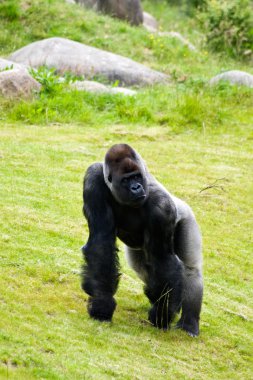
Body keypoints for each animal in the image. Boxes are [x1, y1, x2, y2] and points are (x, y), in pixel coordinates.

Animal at [81, 142, 204, 336]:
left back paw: (189, 325)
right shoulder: (94, 179)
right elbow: (101, 243)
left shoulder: (162, 207)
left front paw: (161, 315)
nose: (136, 187)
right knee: (143, 268)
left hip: (186, 216)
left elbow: (163, 260)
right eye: (126, 180)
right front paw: (102, 304)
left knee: (190, 271)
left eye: (137, 177)